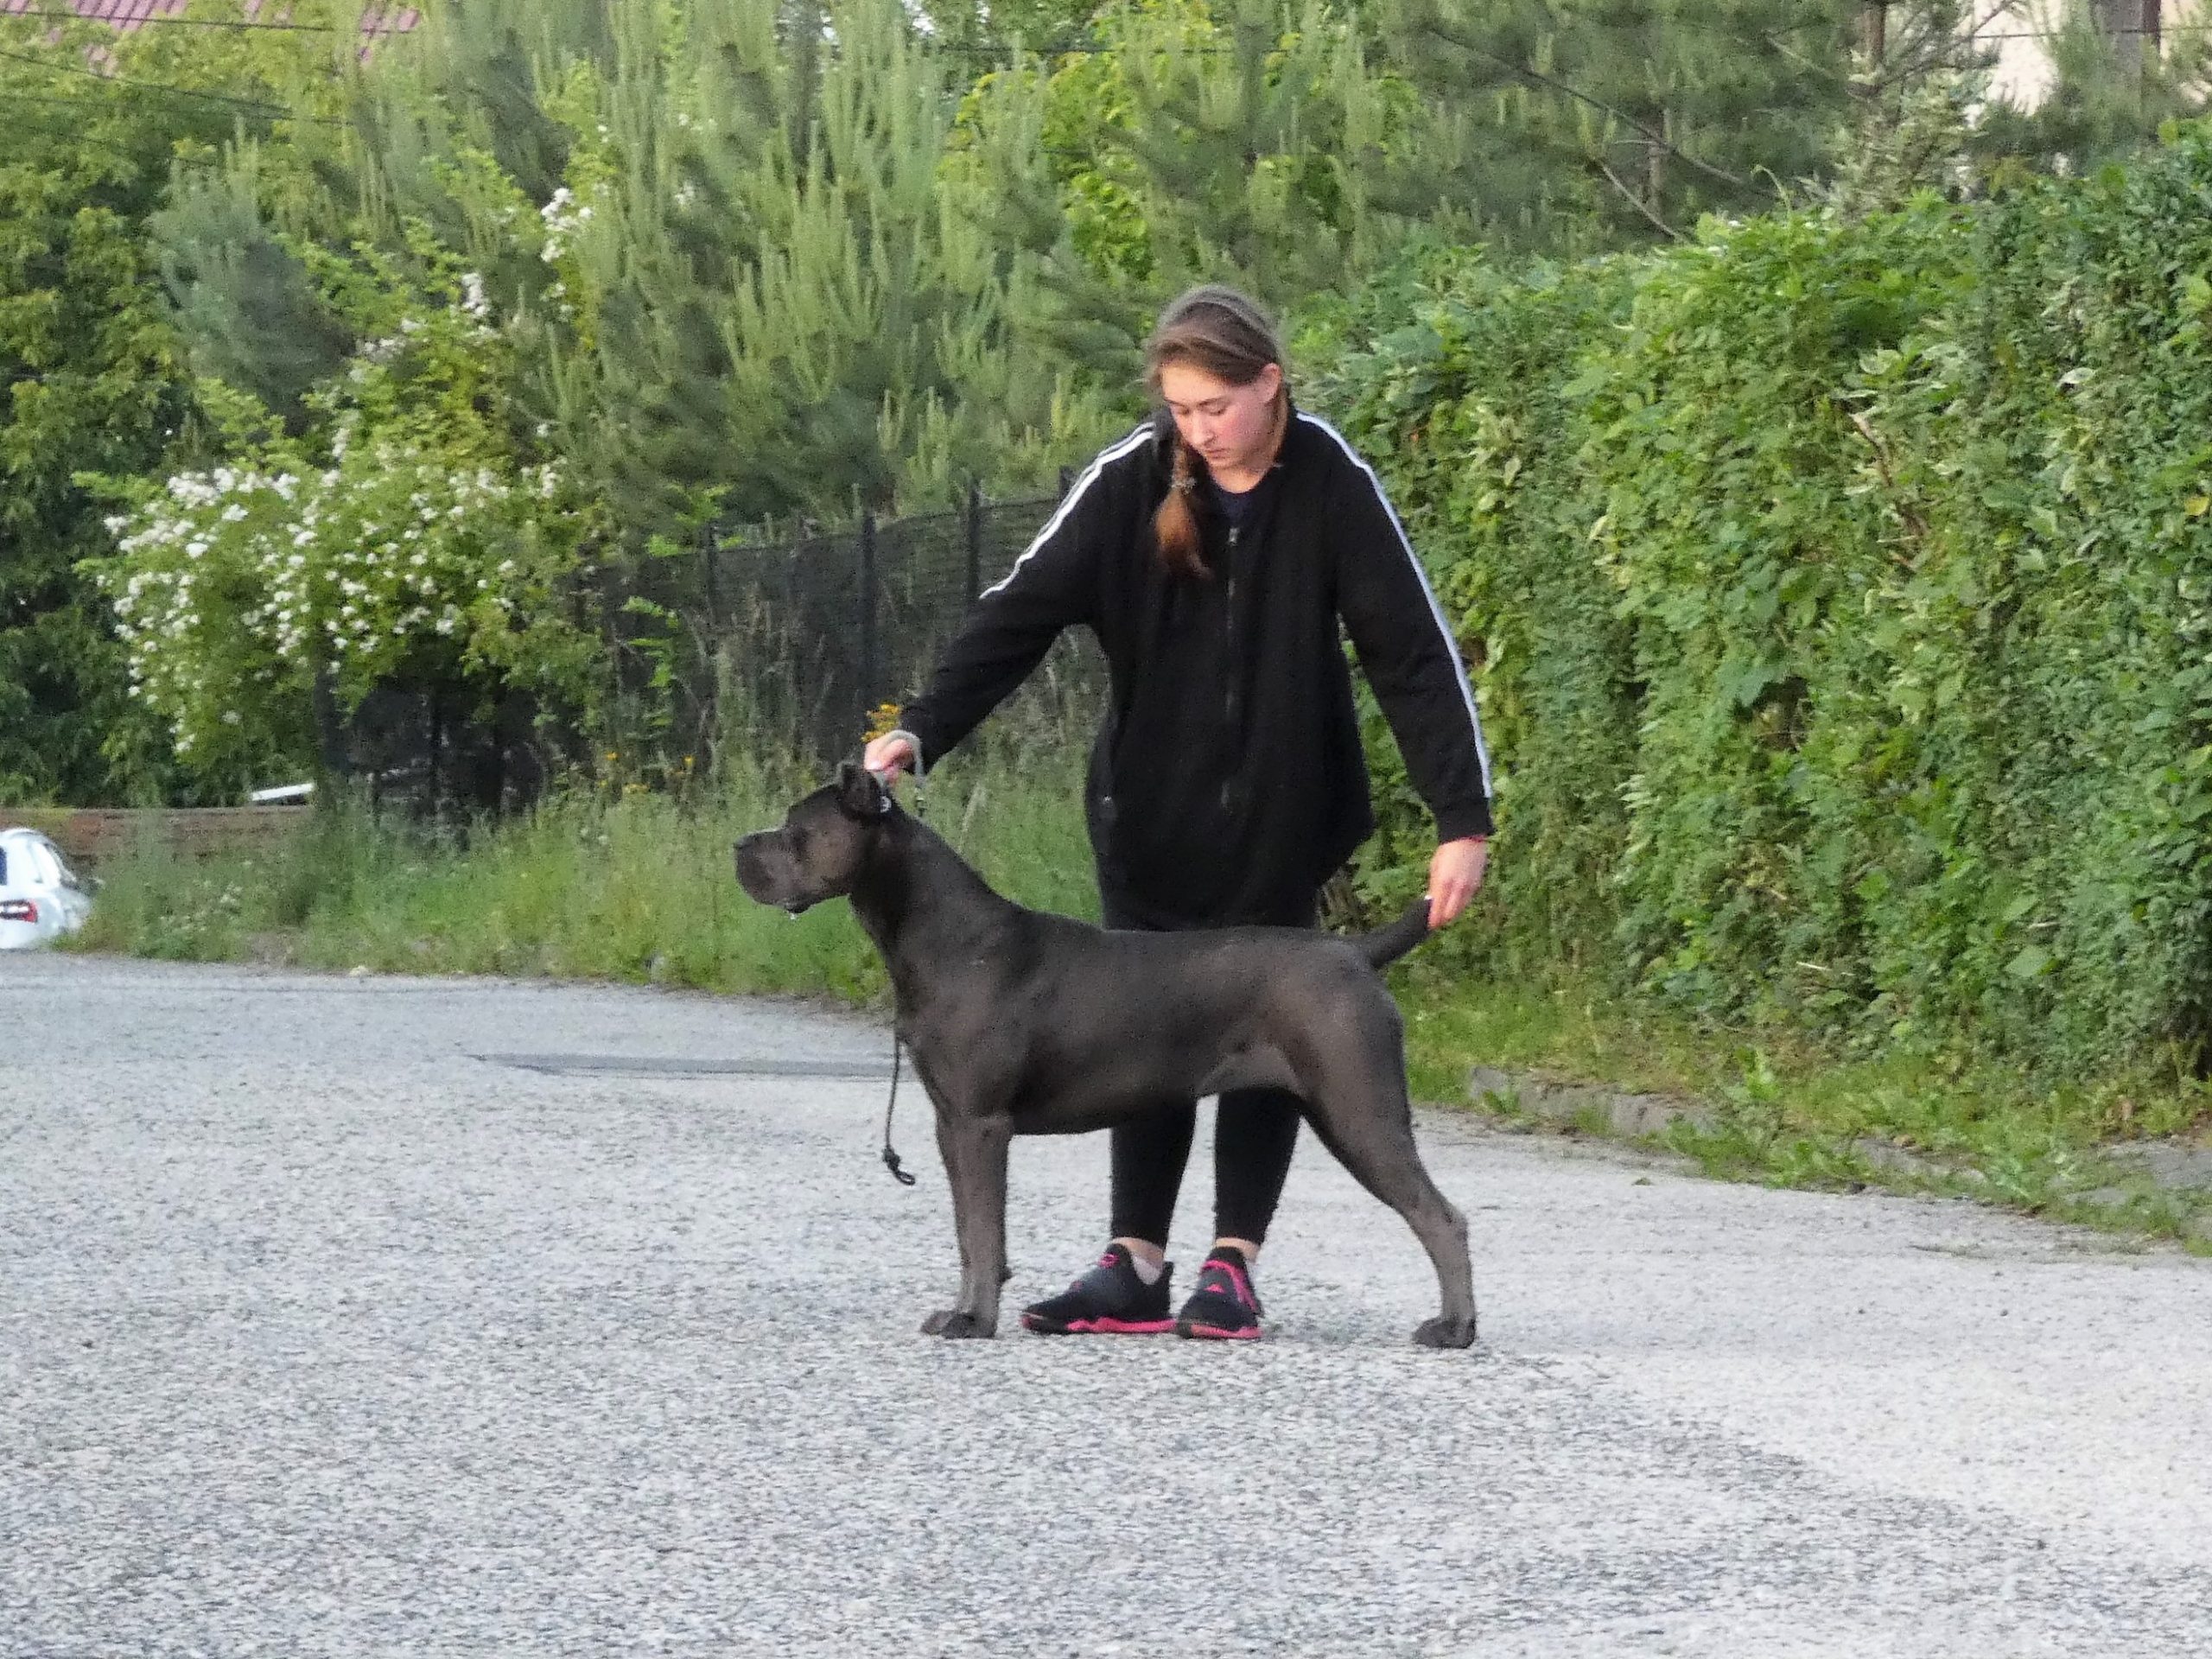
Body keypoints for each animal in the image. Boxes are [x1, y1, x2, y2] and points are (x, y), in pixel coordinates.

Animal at [734, 765, 1478, 1353]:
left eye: (794, 829)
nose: (739, 844)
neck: (940, 935)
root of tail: (1356, 954)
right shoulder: (950, 1123)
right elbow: (968, 1231)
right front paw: (963, 1310)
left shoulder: (981, 1124)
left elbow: (985, 1228)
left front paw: (975, 1320)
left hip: (1358, 1109)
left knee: (1442, 1217)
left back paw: (1454, 1329)